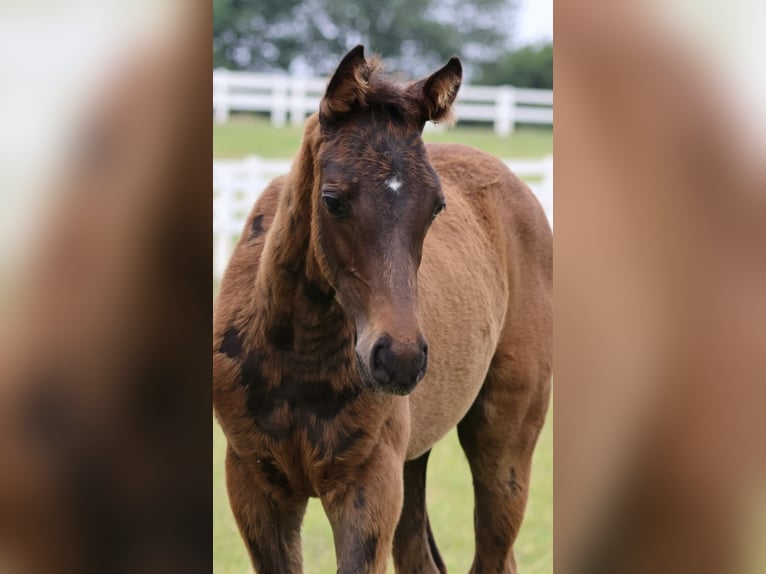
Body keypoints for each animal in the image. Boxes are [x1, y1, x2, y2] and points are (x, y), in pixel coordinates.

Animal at [213, 46, 556, 574]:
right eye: (332, 200)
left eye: (436, 207)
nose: (400, 359)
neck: (300, 356)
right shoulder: (253, 485)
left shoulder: (368, 486)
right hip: (413, 463)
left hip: (505, 440)